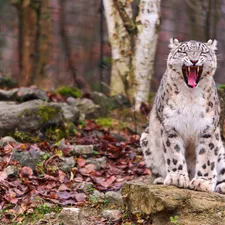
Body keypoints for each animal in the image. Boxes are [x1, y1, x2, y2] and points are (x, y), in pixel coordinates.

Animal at [141, 38, 225, 193]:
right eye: (183, 51)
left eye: (203, 52)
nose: (194, 60)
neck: (190, 96)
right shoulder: (170, 126)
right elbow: (174, 153)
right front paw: (177, 178)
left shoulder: (208, 128)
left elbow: (207, 156)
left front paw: (202, 182)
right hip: (145, 139)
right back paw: (161, 179)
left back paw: (221, 186)